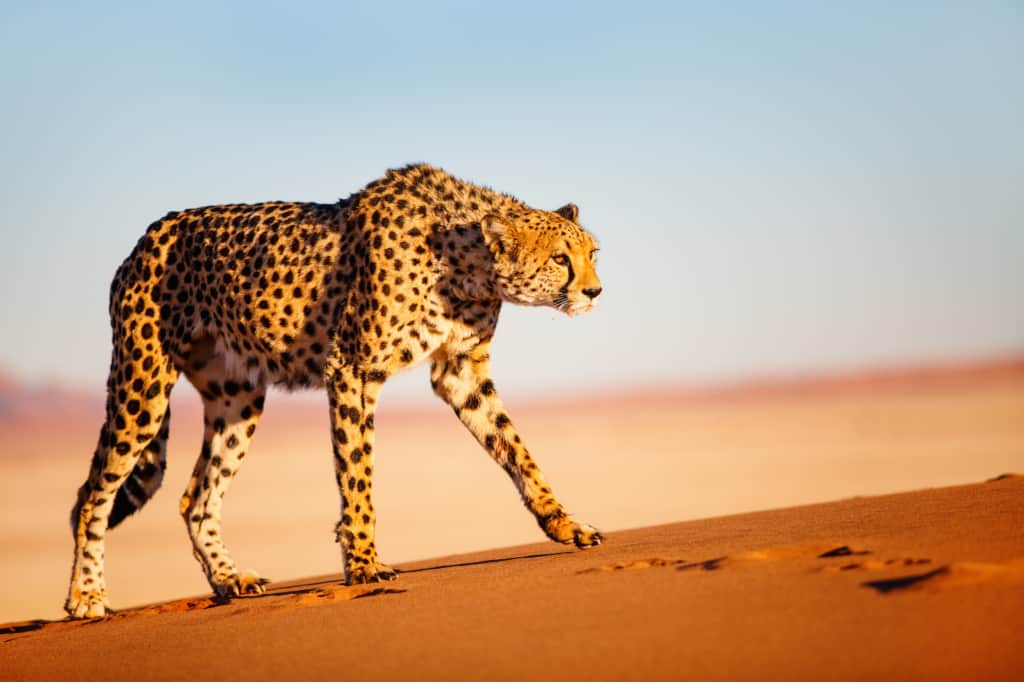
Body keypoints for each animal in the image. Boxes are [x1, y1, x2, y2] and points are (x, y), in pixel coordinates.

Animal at [64, 163, 602, 614]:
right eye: (560, 259)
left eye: (593, 253)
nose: (595, 290)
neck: (467, 260)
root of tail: (149, 235)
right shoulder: (352, 369)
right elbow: (357, 473)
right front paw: (363, 564)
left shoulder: (460, 371)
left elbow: (517, 449)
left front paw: (564, 523)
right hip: (143, 385)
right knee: (93, 495)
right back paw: (86, 596)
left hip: (238, 397)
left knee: (195, 497)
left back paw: (228, 580)